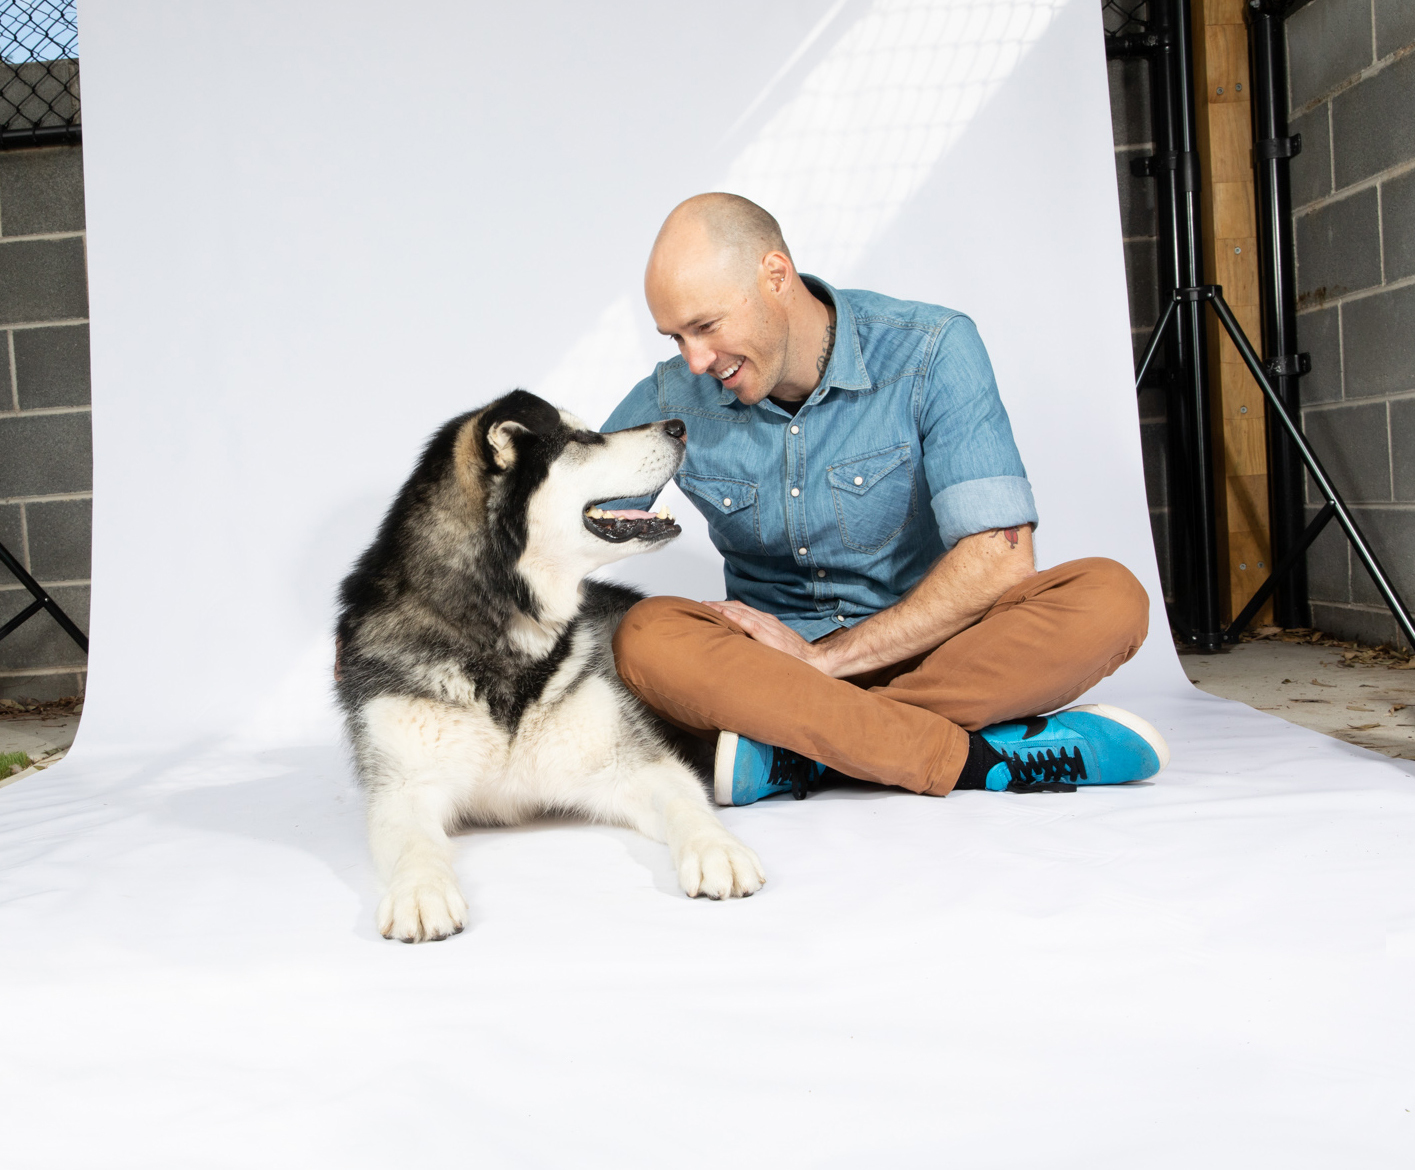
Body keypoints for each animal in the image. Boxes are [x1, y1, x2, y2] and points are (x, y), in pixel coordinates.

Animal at [333, 390, 764, 945]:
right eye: (582, 438)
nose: (678, 425)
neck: (503, 638)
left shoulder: (632, 761)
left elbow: (685, 802)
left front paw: (718, 849)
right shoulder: (402, 786)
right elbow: (414, 843)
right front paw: (420, 891)